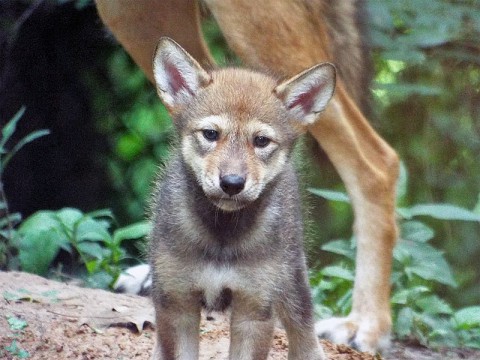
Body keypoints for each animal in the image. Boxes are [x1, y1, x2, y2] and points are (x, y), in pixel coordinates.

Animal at [95, 0, 400, 354]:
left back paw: (365, 324)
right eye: (210, 134)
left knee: (379, 164)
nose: (231, 184)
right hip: (130, 16)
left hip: (250, 22)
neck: (222, 236)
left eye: (262, 141)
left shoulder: (255, 306)